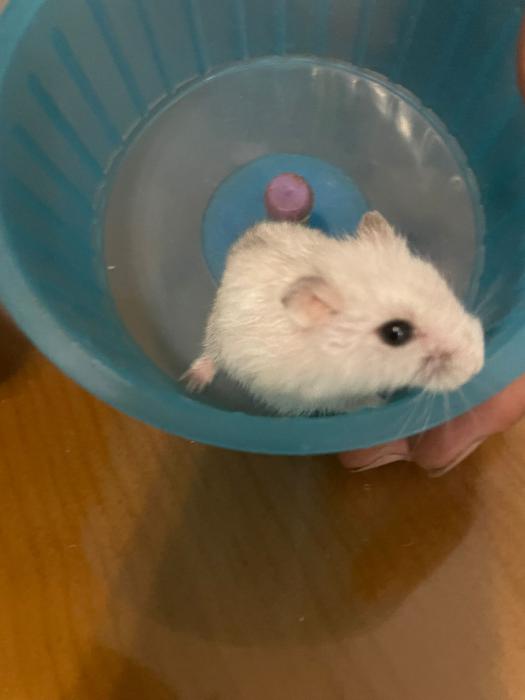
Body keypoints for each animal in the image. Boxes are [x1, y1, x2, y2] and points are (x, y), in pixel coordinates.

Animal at [183, 211, 484, 415]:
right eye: (396, 333)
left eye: (441, 285)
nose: (478, 364)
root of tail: (244, 241)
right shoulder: (316, 396)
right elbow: (354, 402)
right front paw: (380, 402)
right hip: (218, 326)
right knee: (211, 354)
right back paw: (192, 383)